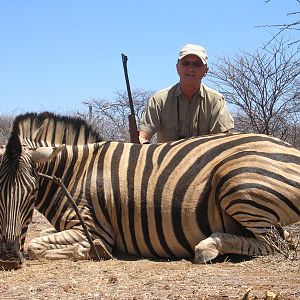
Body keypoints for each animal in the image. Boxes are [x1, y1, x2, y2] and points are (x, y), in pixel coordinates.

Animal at [0, 112, 298, 270]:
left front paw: (93, 251)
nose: (8, 257)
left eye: (32, 191)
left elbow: (36, 246)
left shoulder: (94, 228)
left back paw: (208, 248)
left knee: (277, 244)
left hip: (236, 183)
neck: (76, 172)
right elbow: (39, 241)